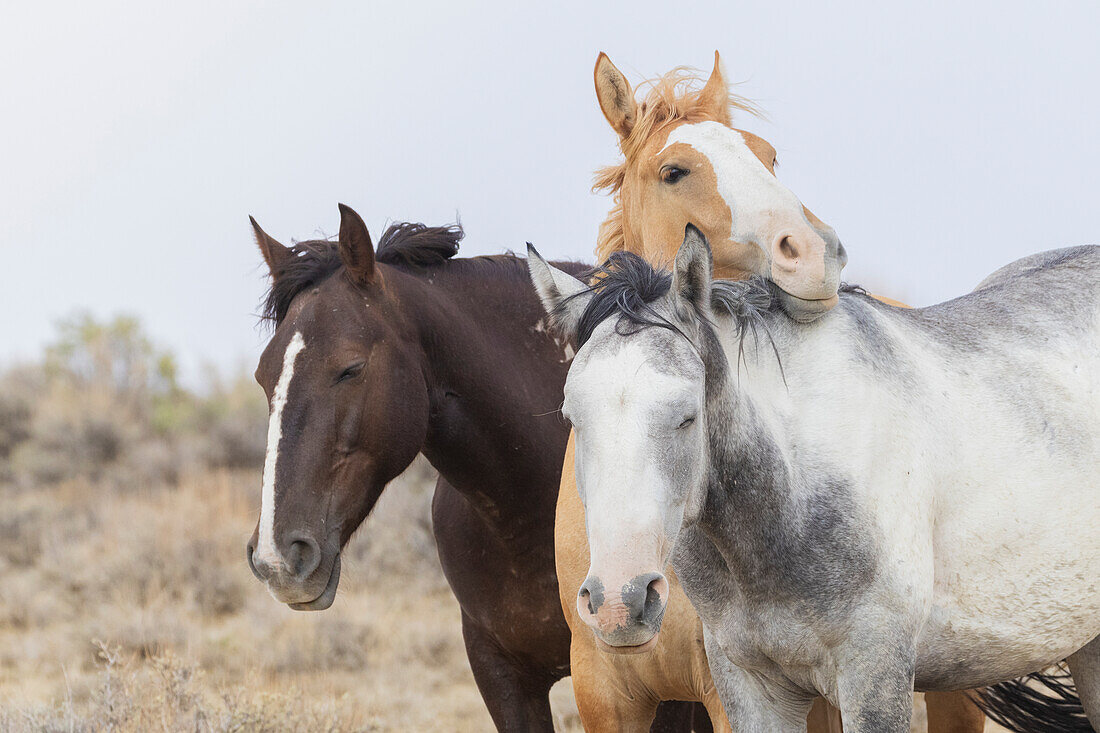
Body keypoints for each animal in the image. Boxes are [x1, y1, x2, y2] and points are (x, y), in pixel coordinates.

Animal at [246, 203, 712, 730]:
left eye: (350, 368)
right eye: (262, 375)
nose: (276, 558)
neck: (527, 515)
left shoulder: (662, 685)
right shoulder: (500, 674)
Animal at [528, 225, 1100, 726]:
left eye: (687, 416)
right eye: (573, 417)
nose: (619, 603)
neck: (790, 493)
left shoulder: (875, 675)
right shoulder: (750, 684)